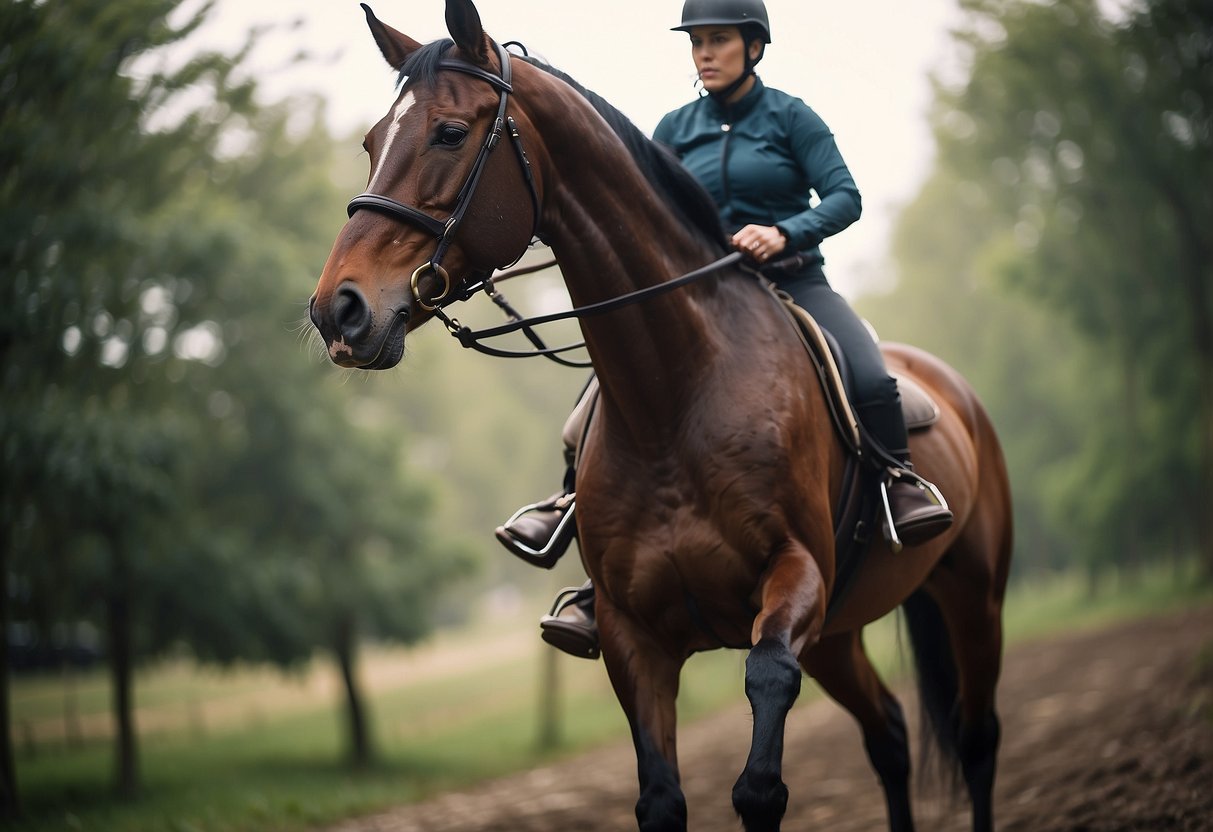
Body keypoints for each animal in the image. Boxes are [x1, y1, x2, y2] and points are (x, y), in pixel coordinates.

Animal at [308, 3, 1009, 829]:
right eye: (370, 143)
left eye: (448, 132)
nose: (337, 310)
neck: (675, 397)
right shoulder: (630, 637)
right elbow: (660, 799)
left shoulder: (796, 581)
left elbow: (760, 772)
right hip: (838, 636)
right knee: (890, 735)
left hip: (971, 597)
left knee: (975, 738)